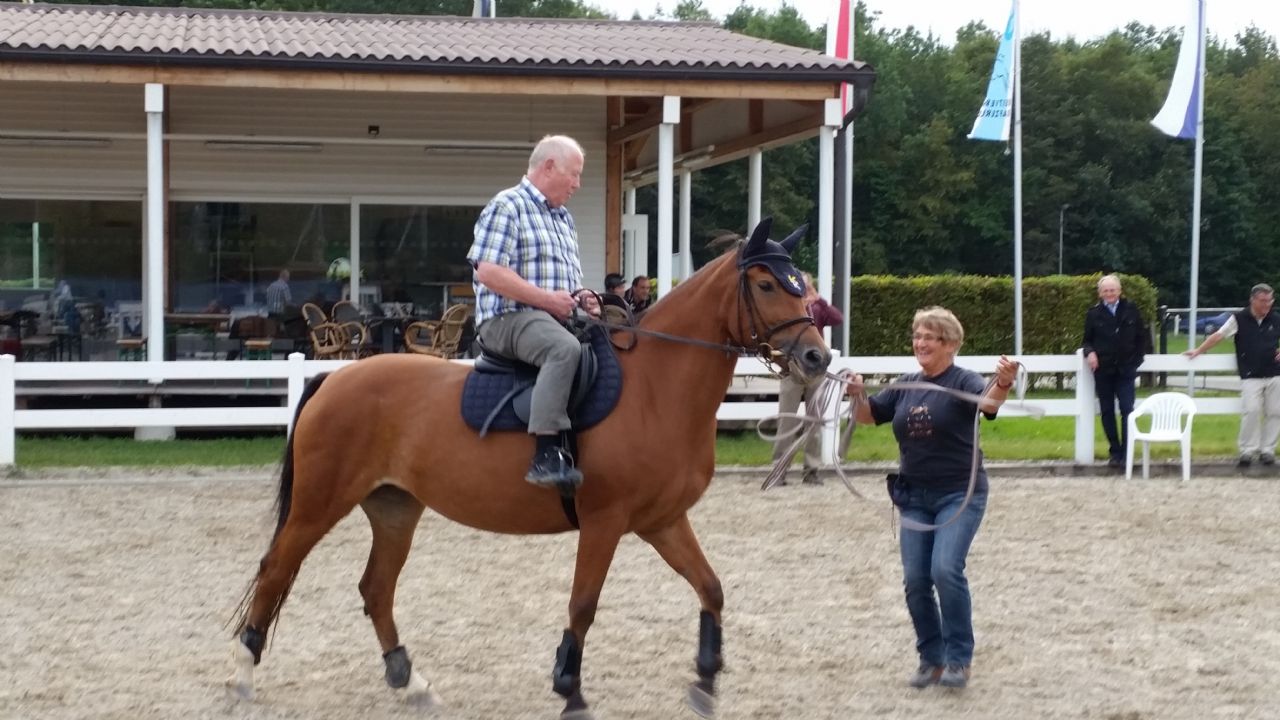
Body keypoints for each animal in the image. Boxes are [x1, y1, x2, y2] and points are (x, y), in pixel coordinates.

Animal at [229, 215, 829, 712]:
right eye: (768, 284)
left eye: (805, 286)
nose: (817, 356)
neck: (654, 389)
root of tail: (334, 378)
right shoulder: (605, 521)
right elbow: (583, 605)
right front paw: (570, 689)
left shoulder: (663, 521)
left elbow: (711, 588)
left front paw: (704, 680)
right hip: (319, 505)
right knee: (275, 570)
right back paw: (242, 675)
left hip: (395, 508)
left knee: (376, 588)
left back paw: (410, 681)